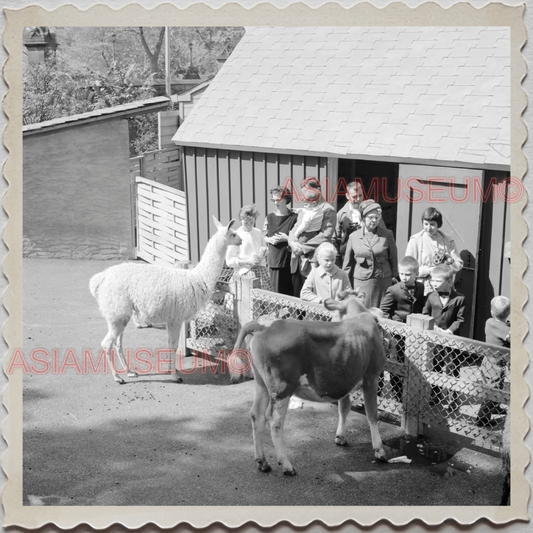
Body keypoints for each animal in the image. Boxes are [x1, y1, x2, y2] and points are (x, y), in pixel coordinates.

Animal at [231, 290, 384, 474]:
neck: (359, 315)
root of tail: (264, 325)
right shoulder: (372, 376)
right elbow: (372, 414)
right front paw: (379, 450)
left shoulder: (344, 381)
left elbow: (344, 408)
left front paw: (341, 436)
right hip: (282, 388)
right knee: (274, 422)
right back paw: (286, 465)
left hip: (262, 384)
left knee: (257, 416)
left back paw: (263, 462)